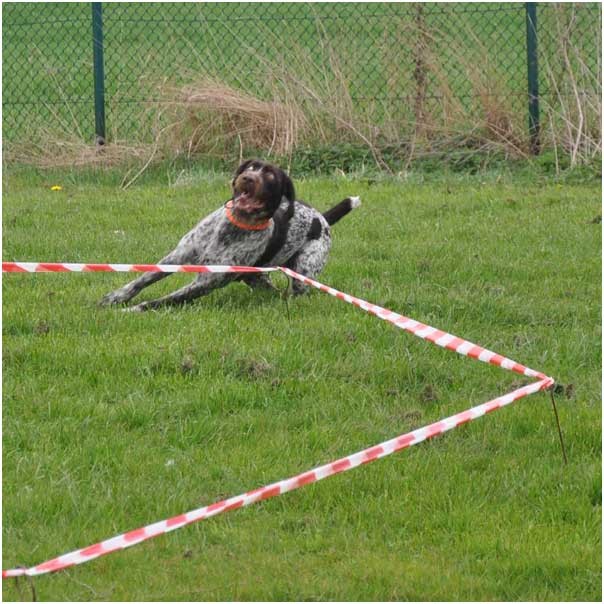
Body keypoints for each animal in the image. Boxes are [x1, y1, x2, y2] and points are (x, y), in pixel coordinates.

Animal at [101, 159, 360, 312]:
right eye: (250, 168)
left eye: (271, 176)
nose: (247, 179)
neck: (235, 226)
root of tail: (321, 218)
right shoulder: (179, 255)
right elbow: (143, 279)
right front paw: (117, 297)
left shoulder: (205, 282)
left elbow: (160, 301)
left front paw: (132, 310)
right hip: (254, 276)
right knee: (270, 289)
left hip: (302, 274)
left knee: (293, 291)